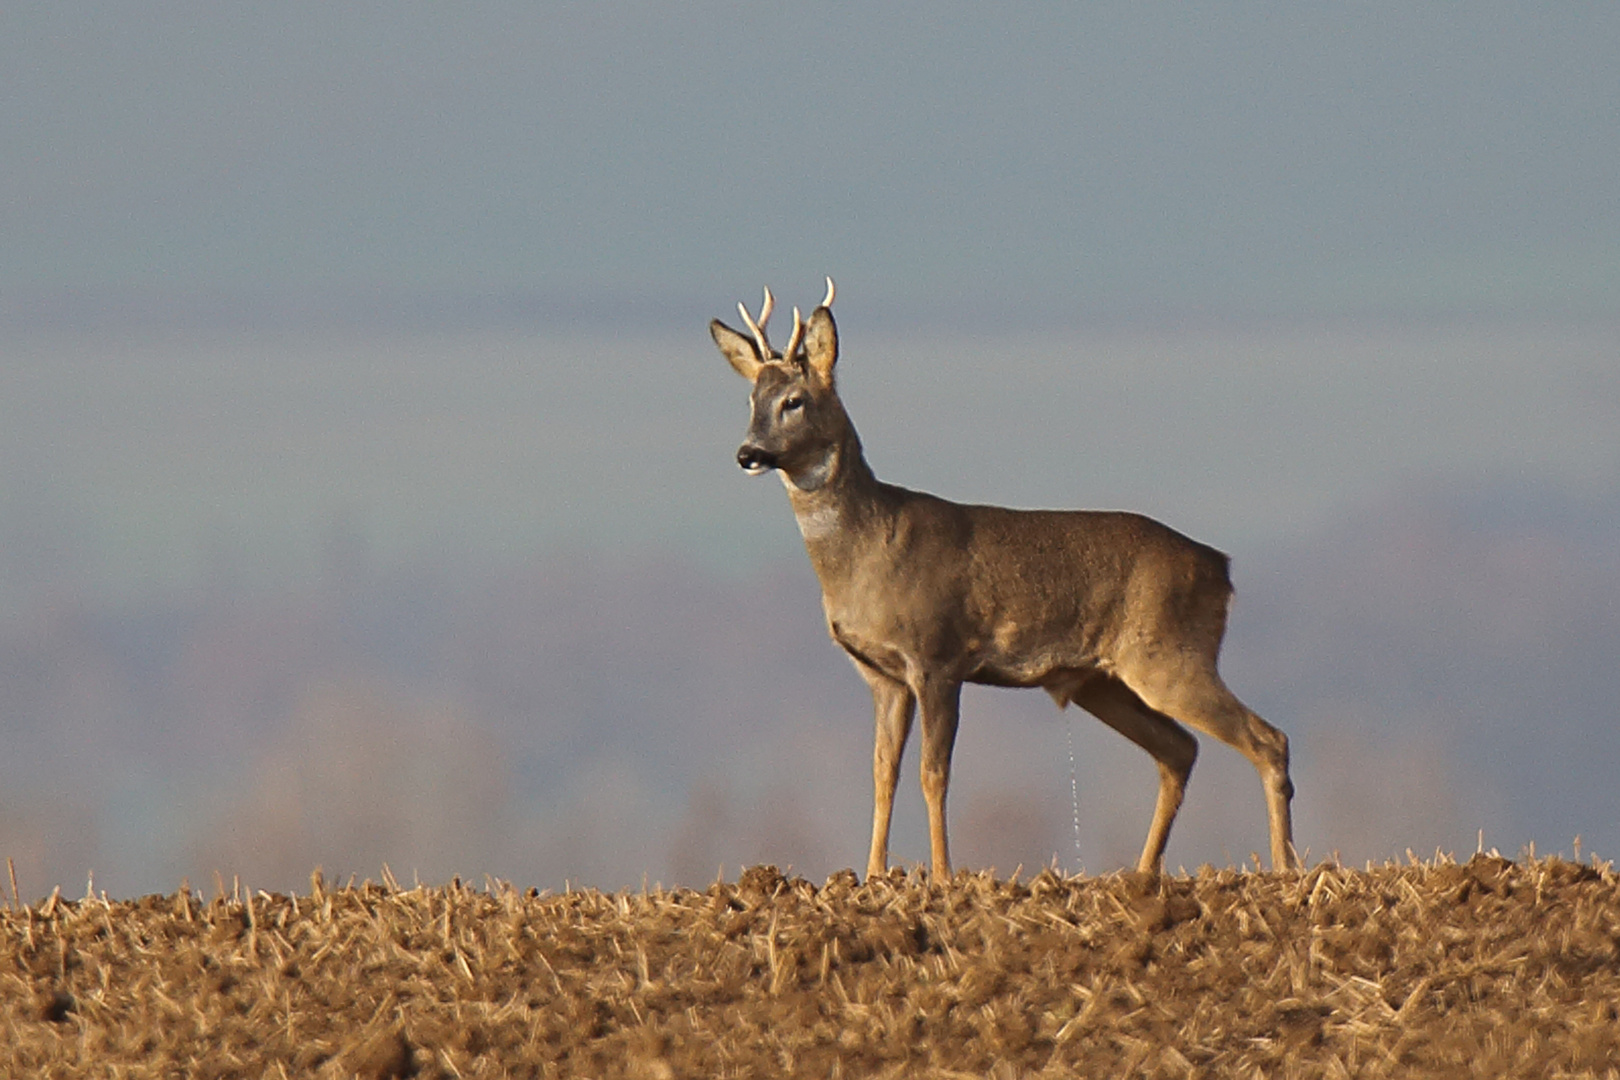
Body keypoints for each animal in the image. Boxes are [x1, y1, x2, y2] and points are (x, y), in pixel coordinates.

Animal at [709, 281, 1289, 880]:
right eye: (751, 400)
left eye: (794, 401)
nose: (748, 453)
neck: (868, 548)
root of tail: (1220, 568)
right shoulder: (882, 675)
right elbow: (882, 774)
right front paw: (871, 876)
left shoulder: (937, 657)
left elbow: (933, 774)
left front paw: (942, 876)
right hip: (1105, 681)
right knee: (1180, 750)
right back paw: (1142, 873)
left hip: (1171, 655)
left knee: (1268, 739)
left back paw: (1285, 869)